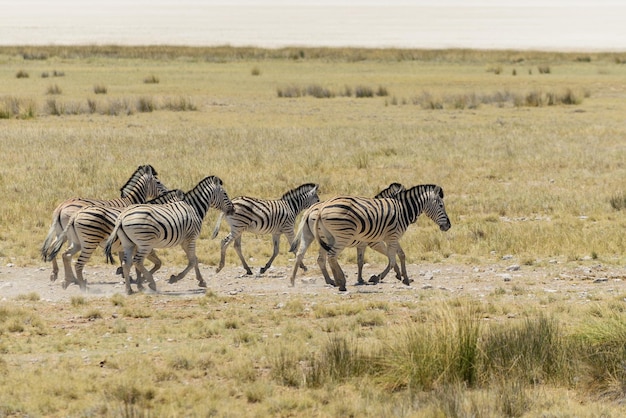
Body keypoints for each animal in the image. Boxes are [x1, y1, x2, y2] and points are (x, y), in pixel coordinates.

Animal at [46, 189, 184, 290]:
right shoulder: (143, 246)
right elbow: (150, 263)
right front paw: (140, 281)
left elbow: (135, 263)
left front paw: (134, 279)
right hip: (82, 240)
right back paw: (77, 282)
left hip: (72, 239)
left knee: (62, 253)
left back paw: (67, 280)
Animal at [103, 175, 233, 296]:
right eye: (225, 194)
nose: (233, 209)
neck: (194, 208)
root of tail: (122, 216)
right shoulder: (191, 238)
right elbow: (192, 261)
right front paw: (175, 278)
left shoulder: (184, 241)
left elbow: (194, 259)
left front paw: (201, 281)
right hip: (144, 242)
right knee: (138, 262)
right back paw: (151, 284)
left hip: (128, 243)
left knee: (126, 264)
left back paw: (129, 290)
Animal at [312, 185, 448, 292]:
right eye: (441, 205)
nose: (449, 225)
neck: (404, 210)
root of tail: (322, 208)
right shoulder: (391, 237)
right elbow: (392, 260)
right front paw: (377, 277)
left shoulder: (392, 237)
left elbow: (401, 255)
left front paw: (405, 278)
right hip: (343, 236)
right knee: (331, 256)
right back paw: (342, 283)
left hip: (329, 237)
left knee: (326, 257)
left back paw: (337, 281)